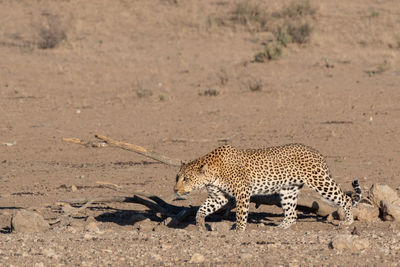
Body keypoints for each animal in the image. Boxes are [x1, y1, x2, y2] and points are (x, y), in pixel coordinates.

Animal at [174, 144, 362, 232]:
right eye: (177, 178)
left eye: (186, 179)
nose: (175, 190)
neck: (212, 174)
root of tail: (316, 152)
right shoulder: (217, 197)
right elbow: (201, 209)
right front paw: (200, 225)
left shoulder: (242, 192)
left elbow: (241, 214)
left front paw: (239, 231)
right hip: (288, 189)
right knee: (292, 214)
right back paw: (279, 228)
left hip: (320, 181)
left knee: (345, 198)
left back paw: (348, 221)